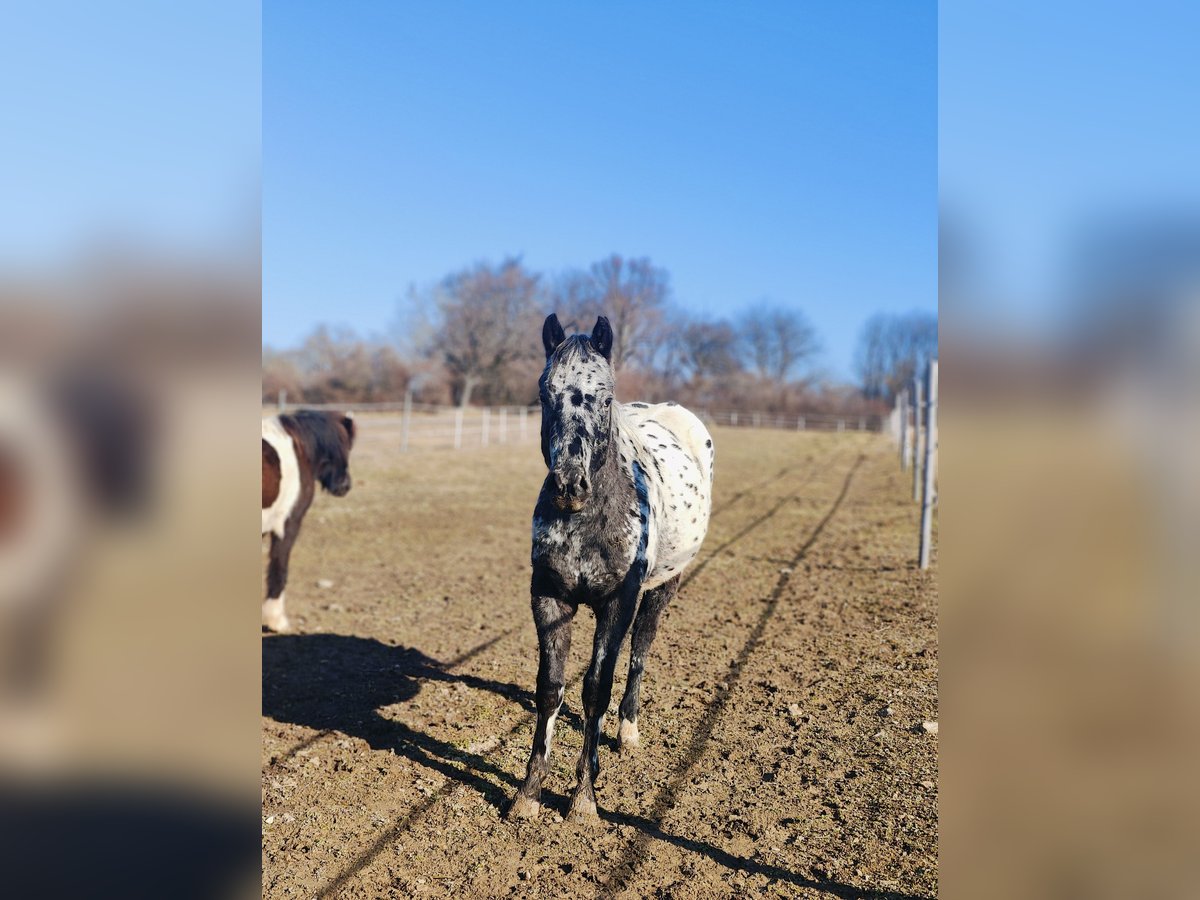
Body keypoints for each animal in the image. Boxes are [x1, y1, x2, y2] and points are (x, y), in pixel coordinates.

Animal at [506, 316, 710, 825]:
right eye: (545, 395)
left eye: (603, 396)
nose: (568, 485)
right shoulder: (549, 599)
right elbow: (550, 689)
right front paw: (528, 794)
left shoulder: (616, 605)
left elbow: (596, 689)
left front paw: (583, 798)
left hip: (663, 586)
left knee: (641, 649)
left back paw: (627, 731)